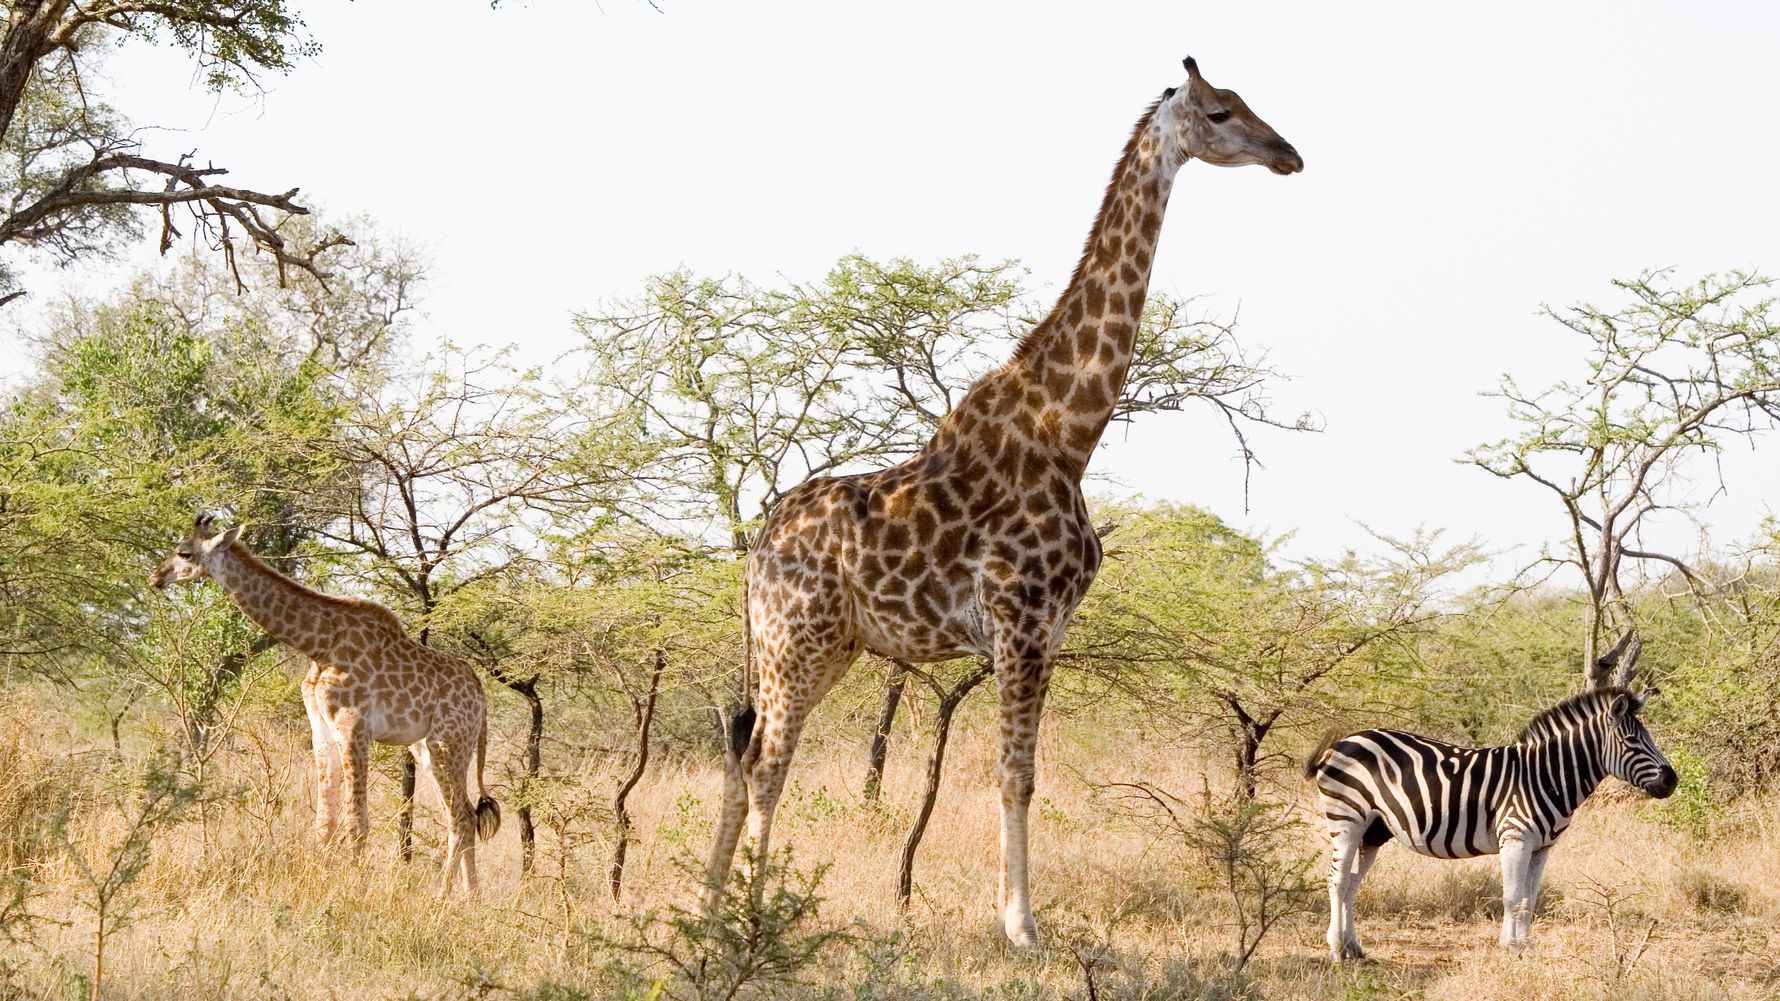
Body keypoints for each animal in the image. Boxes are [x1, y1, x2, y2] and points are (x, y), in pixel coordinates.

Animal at [151, 514, 501, 896]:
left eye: (184, 553)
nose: (156, 577)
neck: (319, 645)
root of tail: (480, 693)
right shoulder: (321, 729)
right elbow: (324, 821)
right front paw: (321, 882)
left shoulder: (353, 726)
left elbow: (356, 821)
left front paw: (353, 890)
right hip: (427, 745)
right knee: (464, 813)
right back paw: (470, 896)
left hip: (446, 742)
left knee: (462, 817)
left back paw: (443, 897)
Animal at [705, 57, 1303, 946]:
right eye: (1223, 112)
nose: (1289, 154)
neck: (1068, 432)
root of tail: (756, 550)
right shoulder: (1018, 622)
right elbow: (1015, 774)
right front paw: (1022, 926)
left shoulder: (1048, 629)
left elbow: (1022, 772)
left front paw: (1017, 915)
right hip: (794, 638)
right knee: (769, 762)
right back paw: (747, 919)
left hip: (828, 647)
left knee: (746, 757)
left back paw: (709, 907)